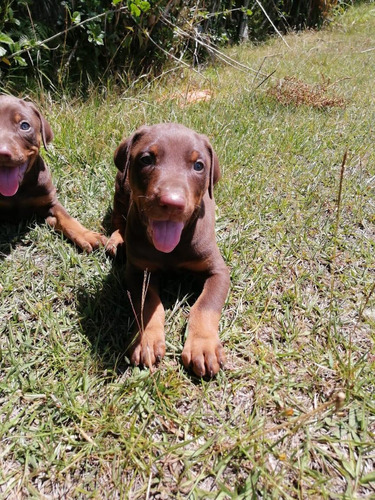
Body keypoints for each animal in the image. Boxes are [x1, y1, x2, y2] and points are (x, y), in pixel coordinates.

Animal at [0, 94, 106, 252]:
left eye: (24, 126)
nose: (2, 153)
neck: (19, 189)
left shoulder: (49, 201)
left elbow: (66, 217)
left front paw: (87, 235)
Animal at [107, 123, 231, 376]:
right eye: (146, 159)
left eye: (198, 165)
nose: (172, 202)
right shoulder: (138, 271)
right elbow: (148, 303)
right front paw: (146, 340)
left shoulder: (218, 271)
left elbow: (206, 305)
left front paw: (203, 346)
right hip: (120, 187)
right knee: (118, 219)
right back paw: (117, 241)